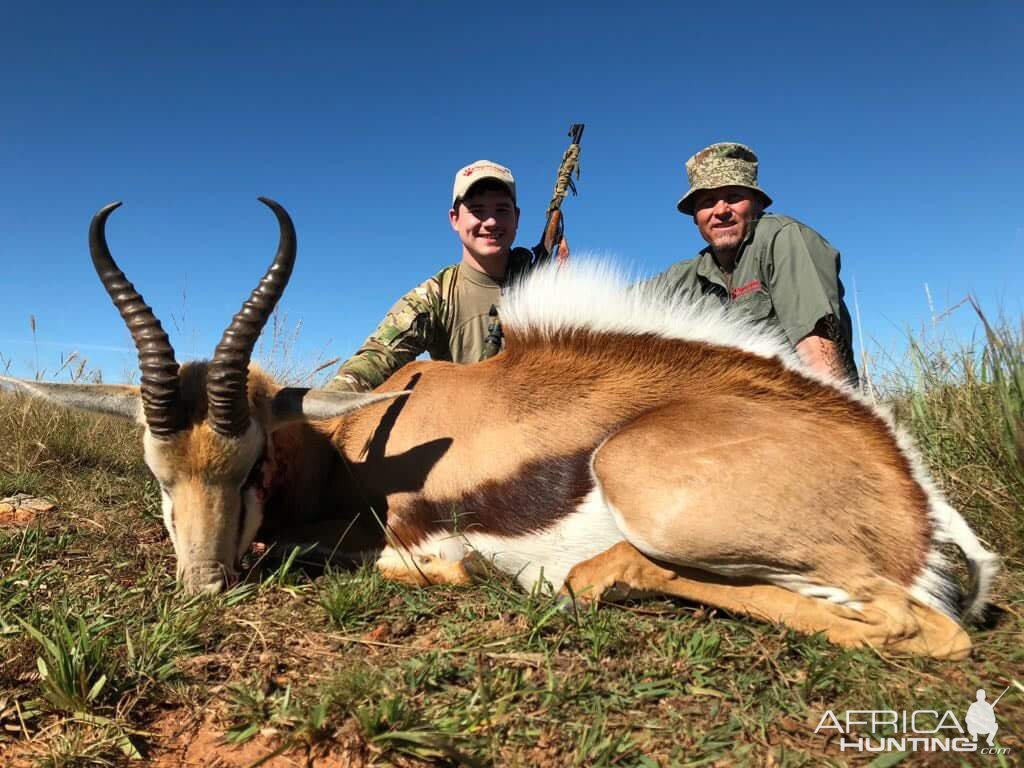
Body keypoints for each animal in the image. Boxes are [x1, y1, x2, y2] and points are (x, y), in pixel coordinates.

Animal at [4, 199, 995, 663]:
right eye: (158, 471)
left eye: (251, 466)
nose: (202, 588)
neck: (353, 442)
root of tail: (909, 492)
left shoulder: (408, 535)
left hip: (655, 500)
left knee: (920, 628)